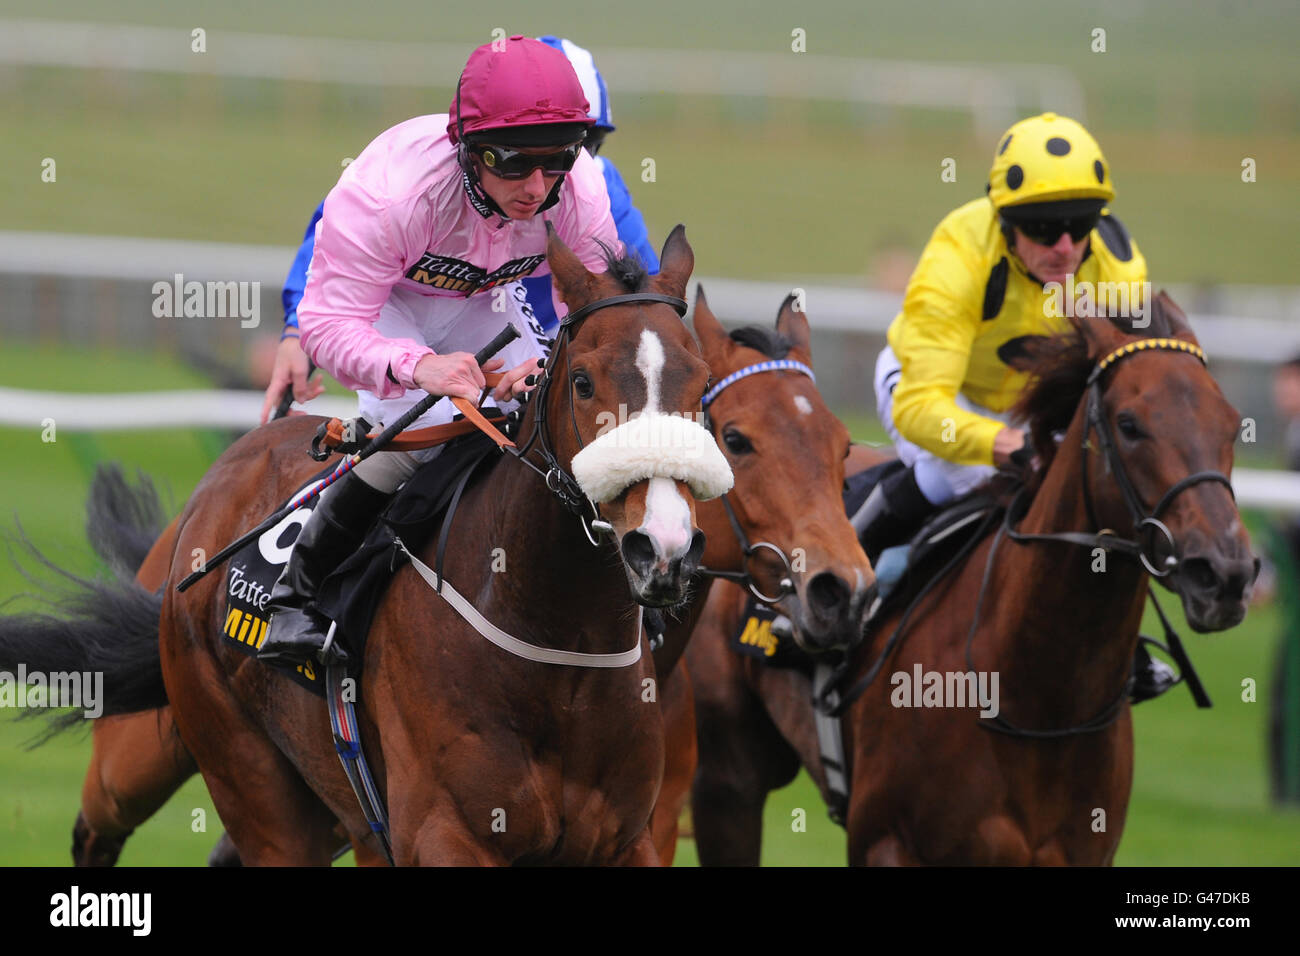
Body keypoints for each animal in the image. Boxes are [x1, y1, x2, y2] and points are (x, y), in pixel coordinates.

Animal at [686, 293, 1253, 868]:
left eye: (1232, 425)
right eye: (1130, 424)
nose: (1224, 573)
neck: (1039, 704)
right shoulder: (884, 842)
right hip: (728, 783)